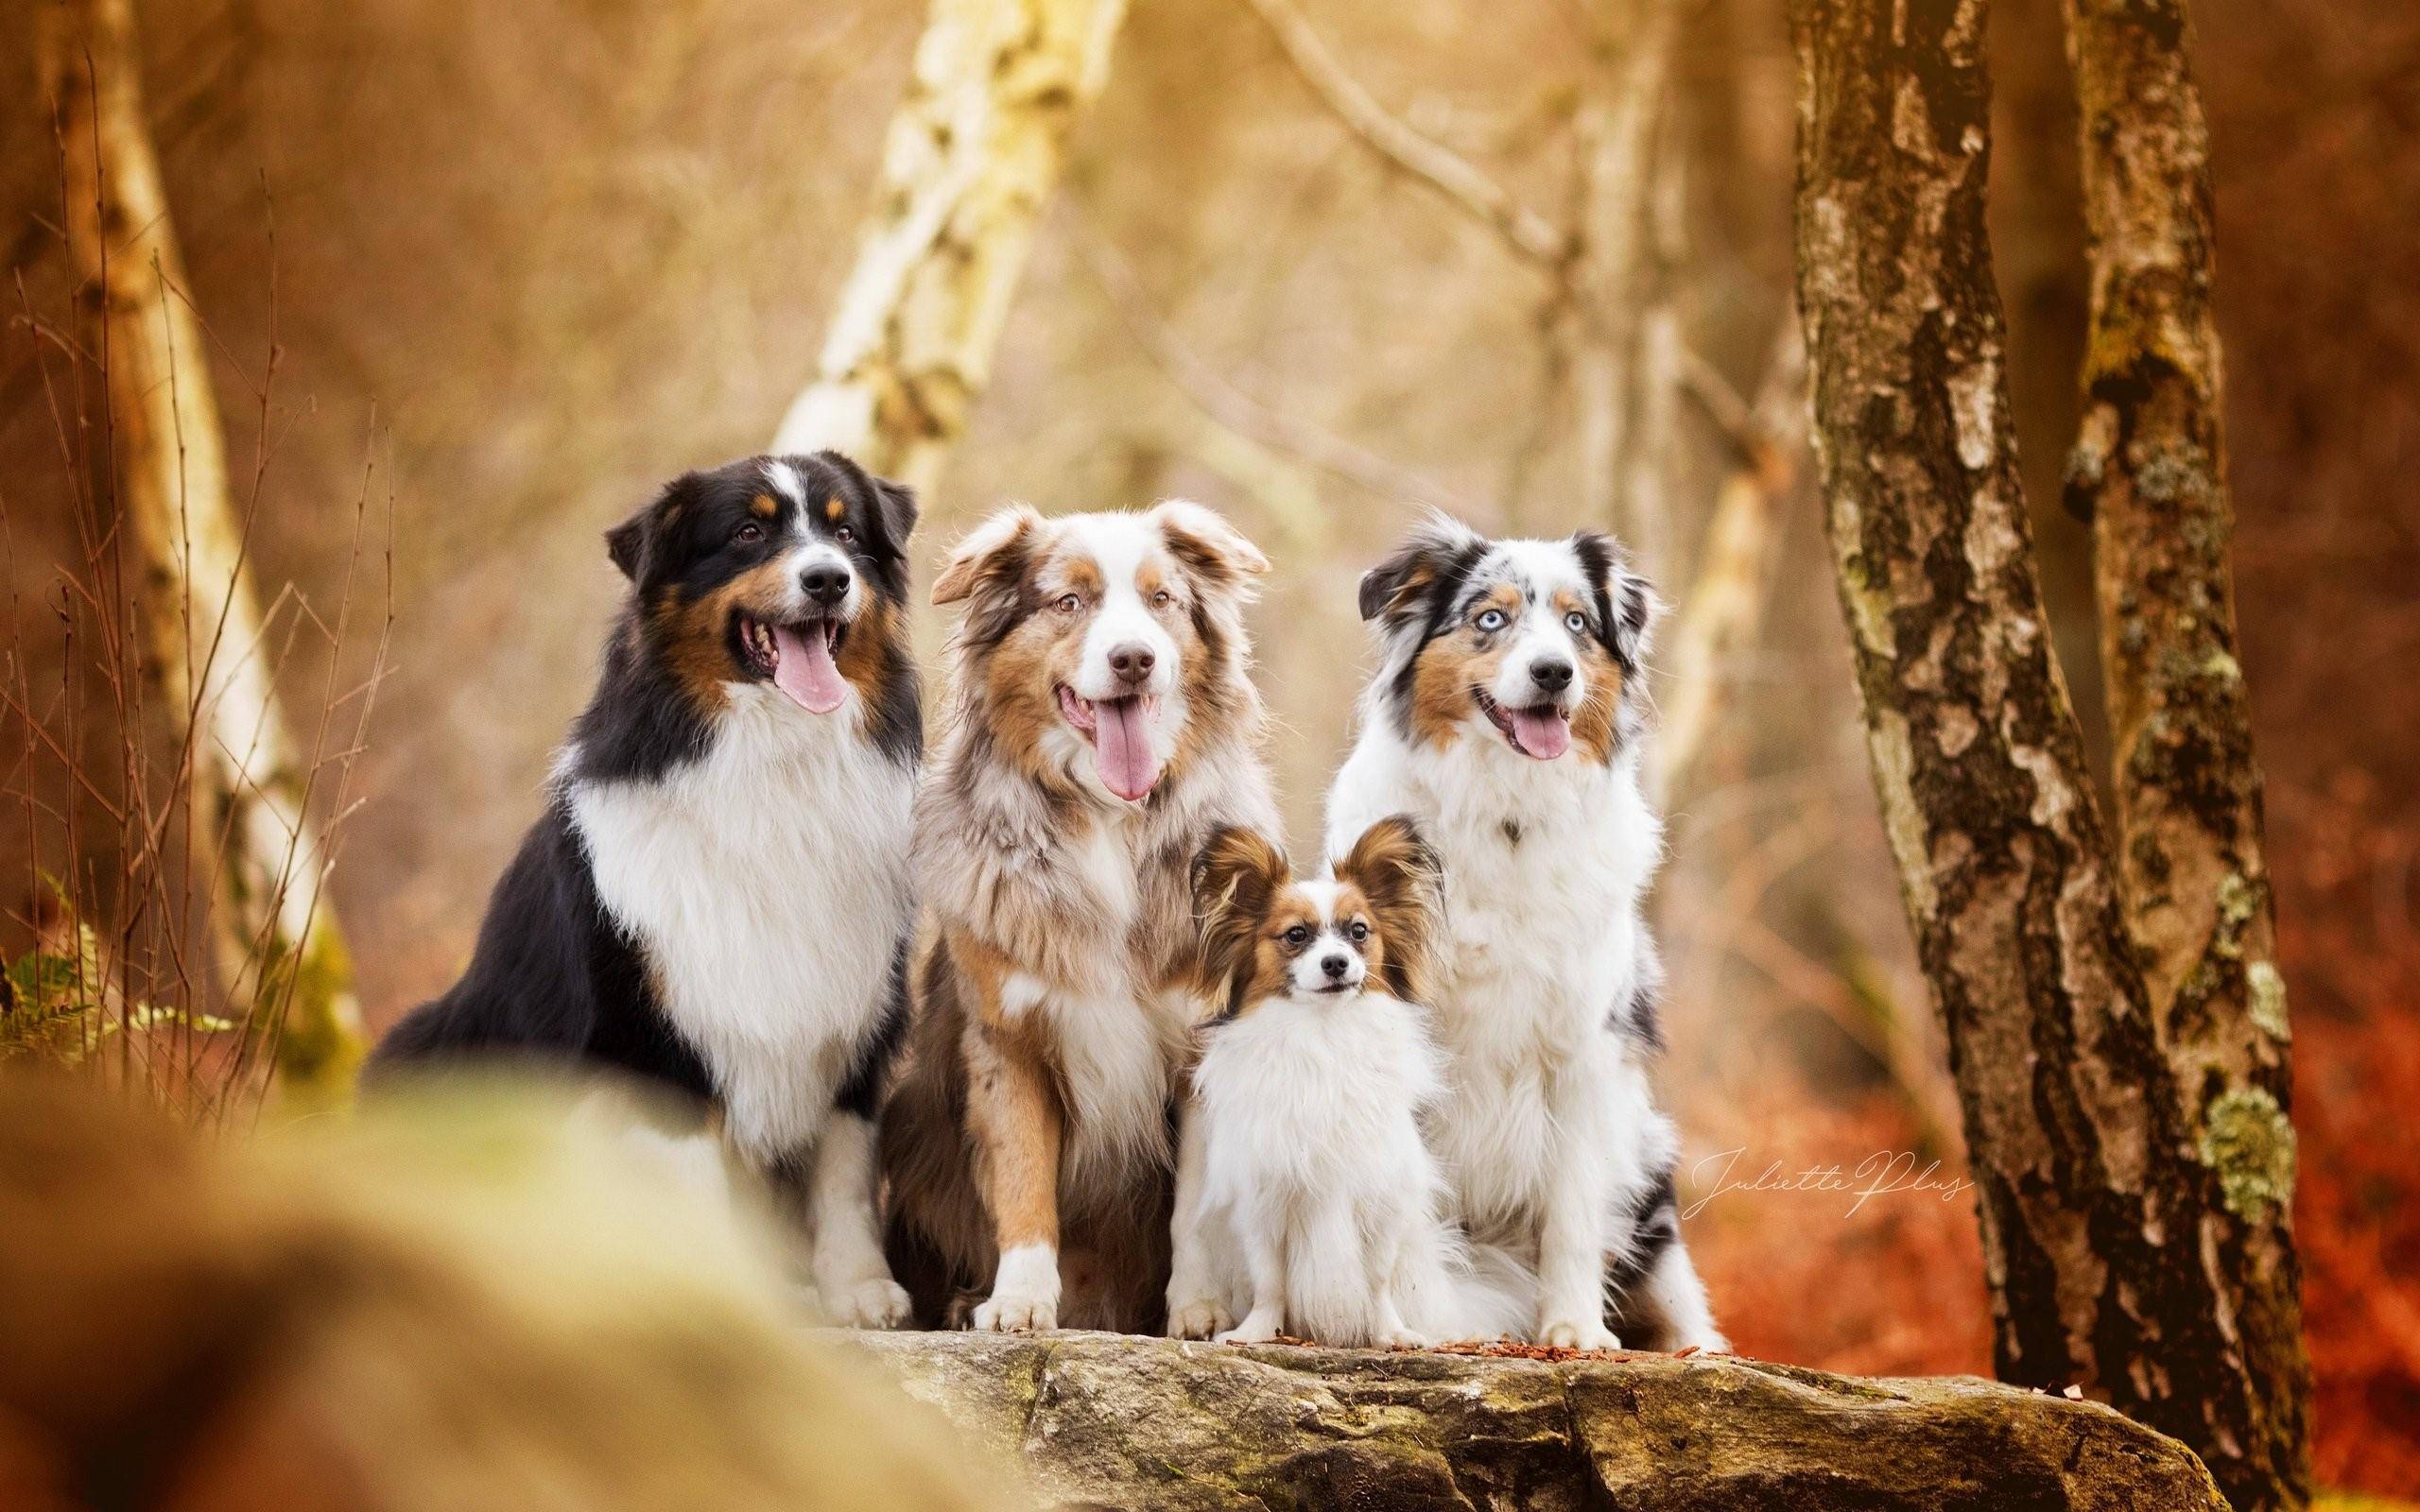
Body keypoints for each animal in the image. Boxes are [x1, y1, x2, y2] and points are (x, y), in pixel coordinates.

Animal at [374, 447, 924, 1315]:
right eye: (746, 533)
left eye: (845, 533)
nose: (829, 580)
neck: (773, 766)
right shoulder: (654, 1035)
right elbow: (692, 1182)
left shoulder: (855, 1011)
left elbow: (843, 1171)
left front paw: (859, 1289)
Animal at [880, 500, 1277, 1325]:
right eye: (1069, 602)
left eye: (1163, 600)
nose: (1134, 660)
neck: (1109, 820)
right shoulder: (1008, 1038)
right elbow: (1024, 1178)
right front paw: (1021, 1302)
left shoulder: (1200, 1042)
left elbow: (1194, 1205)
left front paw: (1196, 1309)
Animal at [1161, 813, 1519, 1345]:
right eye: (1295, 935)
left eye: (1358, 931)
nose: (1337, 963)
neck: (1324, 1033)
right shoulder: (1266, 1197)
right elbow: (1270, 1280)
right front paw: (1258, 1332)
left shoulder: (1378, 1196)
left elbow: (1377, 1280)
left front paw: (1390, 1334)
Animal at [1325, 512, 1722, 1354]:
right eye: (1490, 618)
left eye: (1577, 624)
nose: (1553, 674)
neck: (1506, 818)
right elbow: (1407, 1211)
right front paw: (1418, 1319)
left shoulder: (1585, 1052)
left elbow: (1572, 1210)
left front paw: (1573, 1329)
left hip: (1649, 1161)